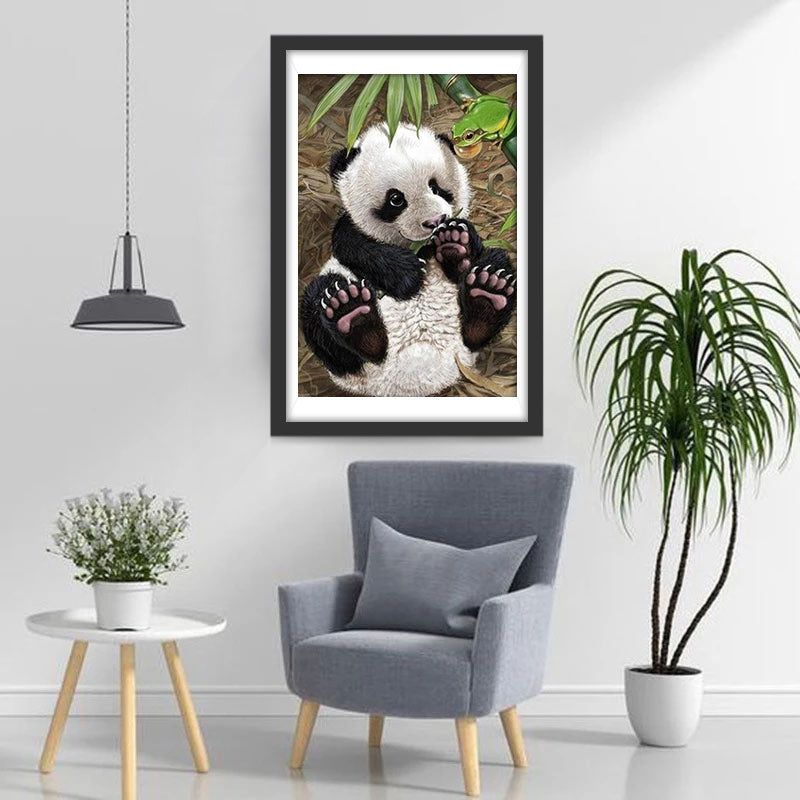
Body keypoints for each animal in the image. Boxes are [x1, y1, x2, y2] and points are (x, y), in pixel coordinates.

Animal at [300, 122, 516, 397]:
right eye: (396, 199)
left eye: (435, 187)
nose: (435, 221)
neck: (420, 248)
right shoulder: (354, 232)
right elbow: (353, 242)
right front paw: (408, 273)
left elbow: (469, 244)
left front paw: (455, 242)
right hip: (347, 351)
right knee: (319, 302)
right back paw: (351, 313)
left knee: (495, 266)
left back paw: (488, 293)